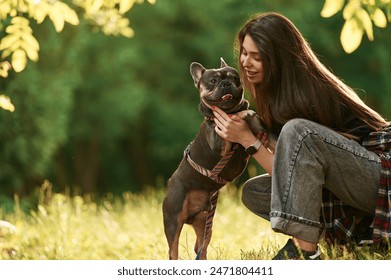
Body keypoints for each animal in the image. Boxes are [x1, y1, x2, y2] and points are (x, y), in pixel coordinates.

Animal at [162, 58, 266, 260]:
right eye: (212, 81)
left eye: (235, 78)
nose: (226, 83)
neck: (227, 111)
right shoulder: (220, 141)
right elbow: (235, 118)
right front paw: (243, 113)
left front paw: (248, 114)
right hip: (173, 221)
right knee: (173, 250)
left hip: (205, 224)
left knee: (200, 248)